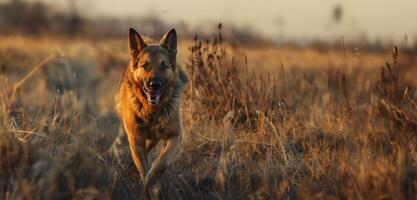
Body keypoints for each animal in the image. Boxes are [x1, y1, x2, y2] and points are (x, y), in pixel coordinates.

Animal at [117, 27, 188, 188]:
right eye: (145, 66)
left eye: (164, 66)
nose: (155, 85)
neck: (151, 111)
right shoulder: (136, 139)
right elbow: (143, 168)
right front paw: (145, 184)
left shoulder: (175, 135)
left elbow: (162, 163)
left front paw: (151, 181)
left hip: (154, 138)